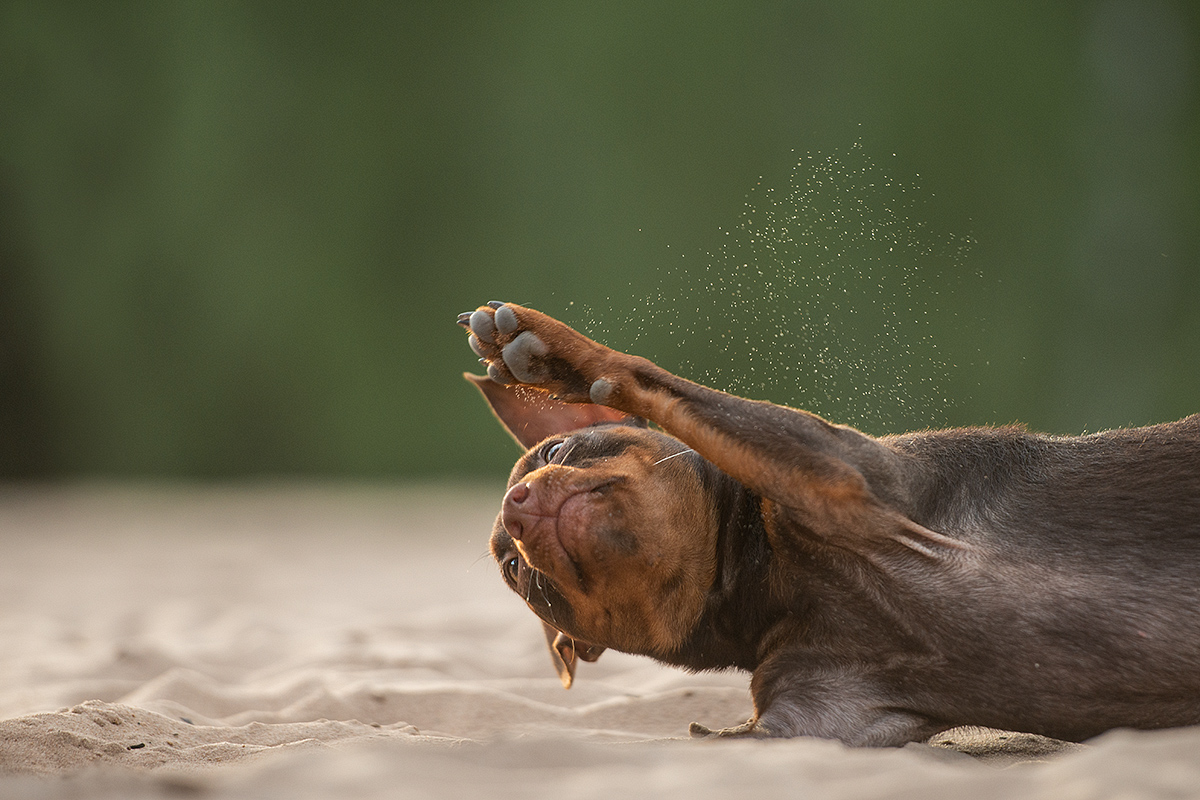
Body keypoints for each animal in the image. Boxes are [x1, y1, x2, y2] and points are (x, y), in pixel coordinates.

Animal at [456, 298, 1200, 743]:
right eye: (515, 571)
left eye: (555, 452)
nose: (516, 511)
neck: (765, 582)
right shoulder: (808, 724)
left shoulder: (838, 473)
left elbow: (647, 377)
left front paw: (549, 349)